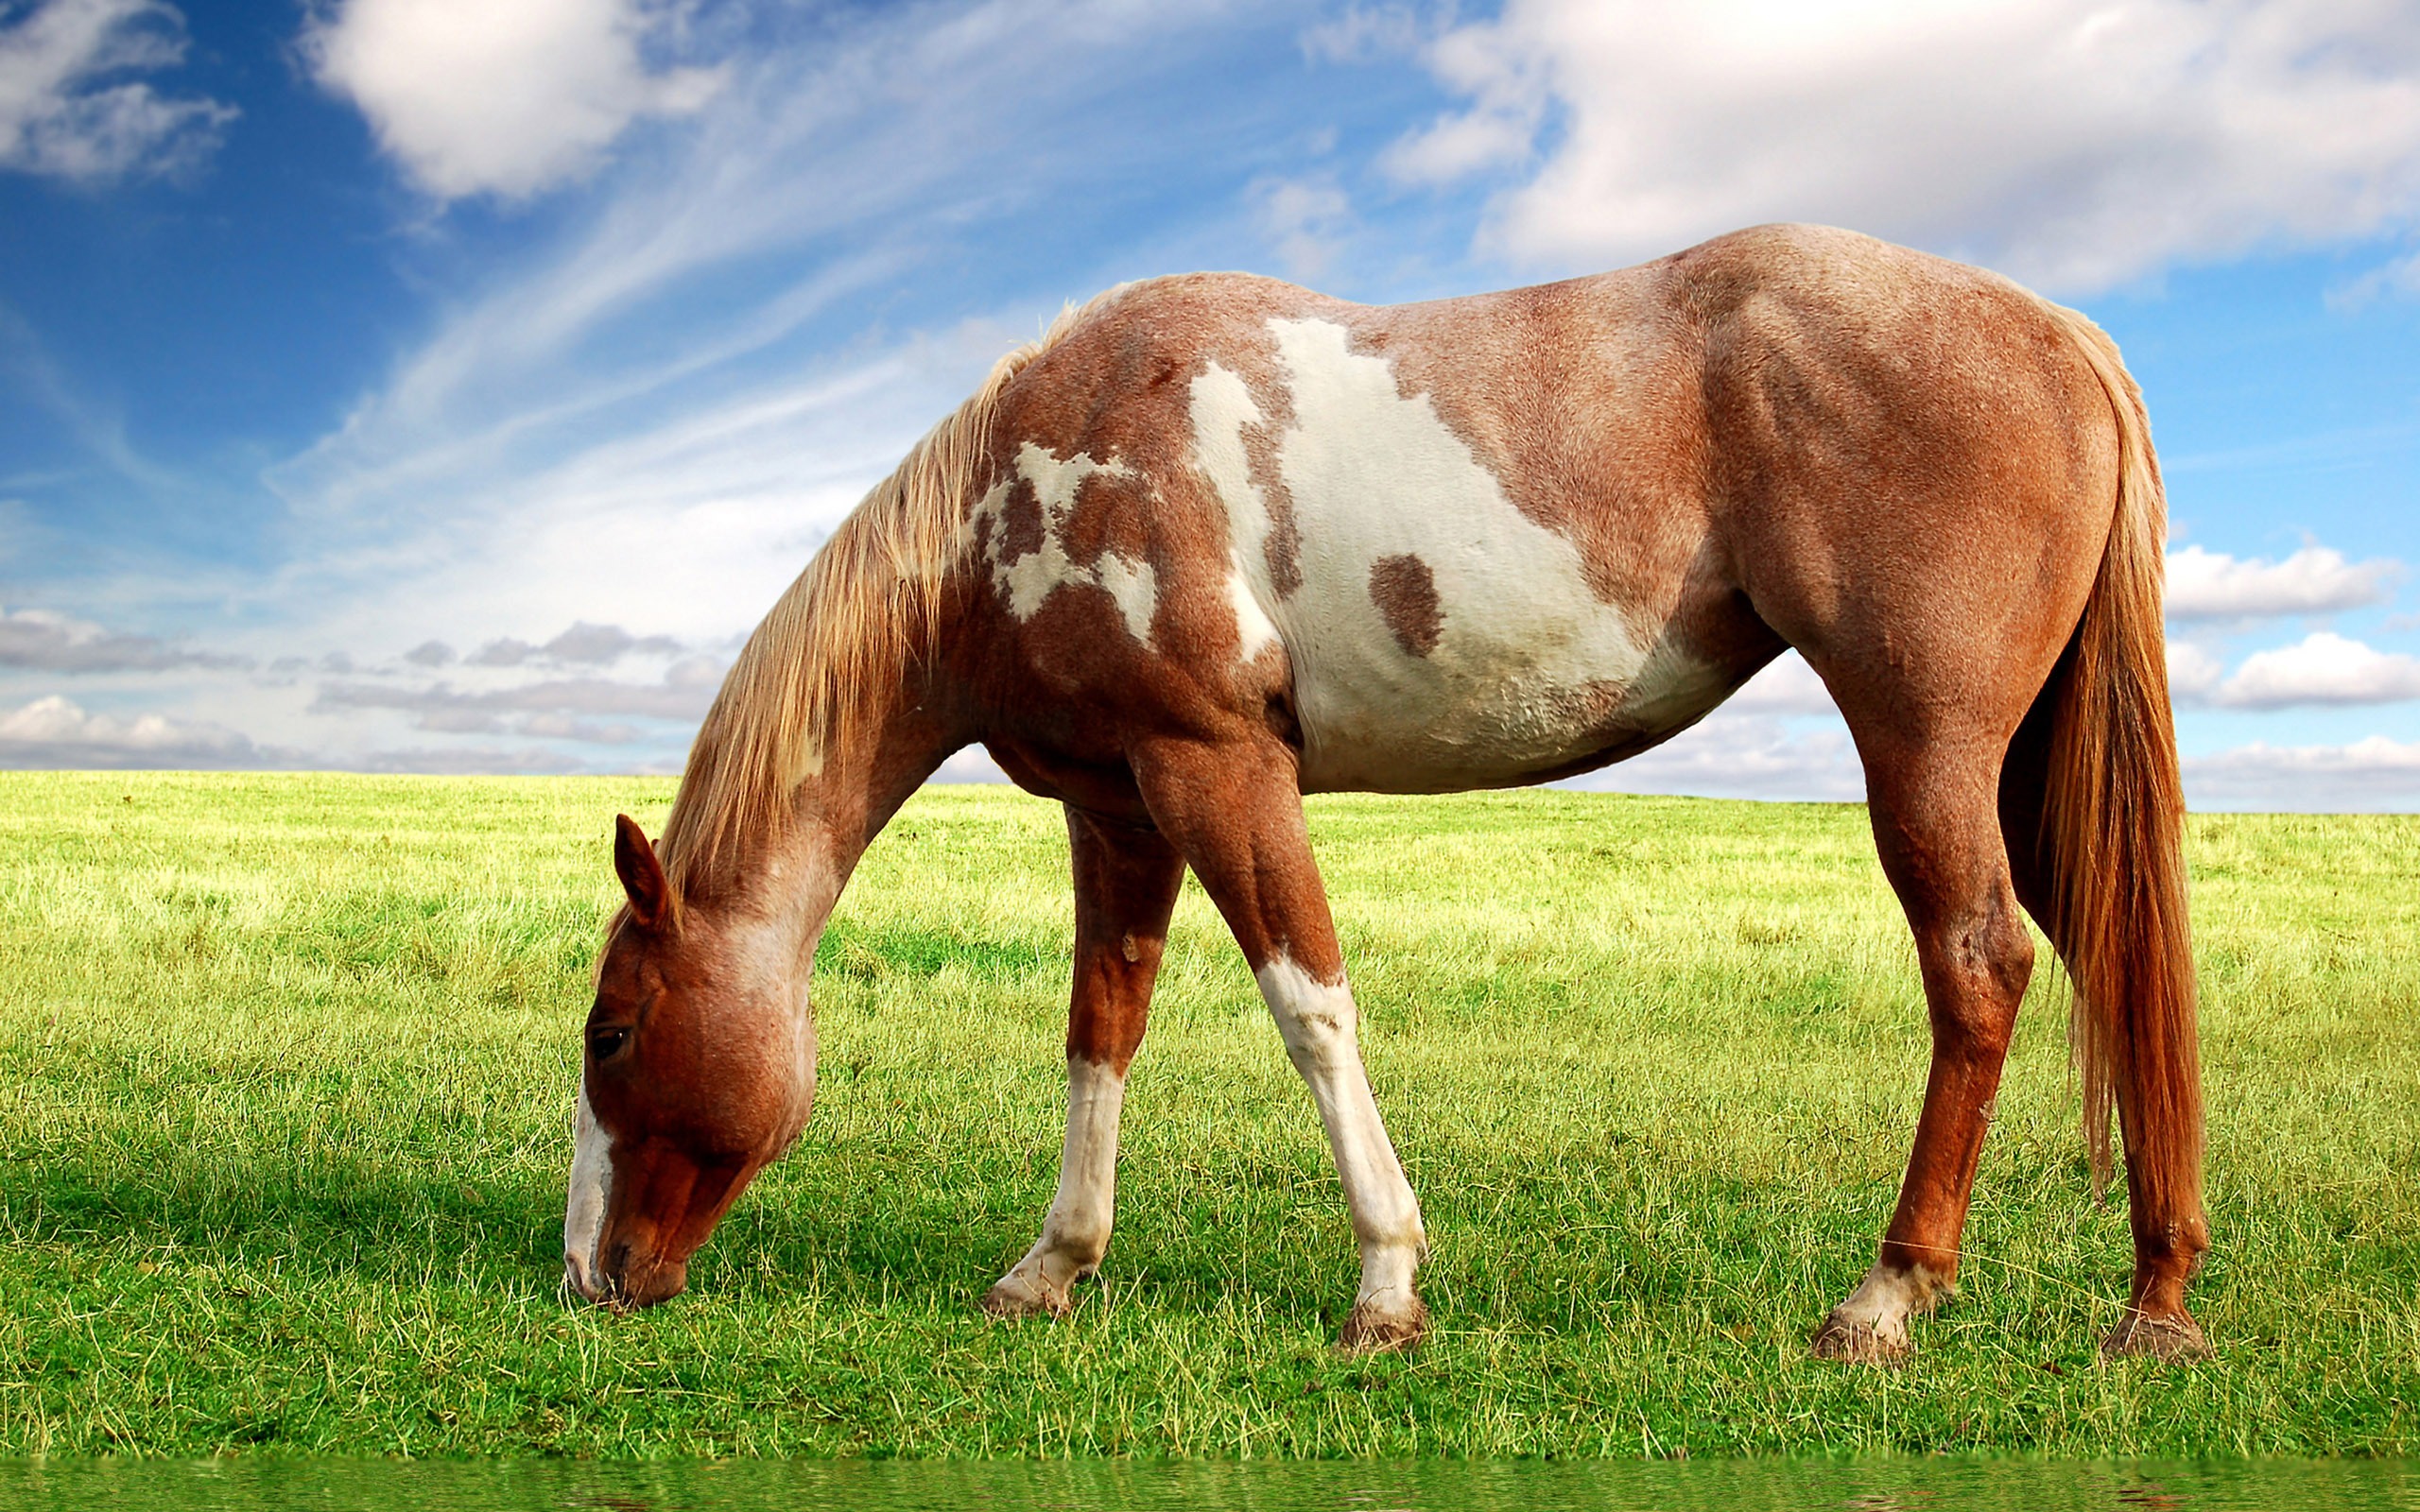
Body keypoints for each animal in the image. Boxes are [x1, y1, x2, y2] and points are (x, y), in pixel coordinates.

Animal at [561, 223, 2216, 1354]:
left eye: (614, 1031)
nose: (586, 1276)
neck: (1016, 495)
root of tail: (2059, 329)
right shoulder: (1118, 806)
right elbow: (1102, 1031)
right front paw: (1053, 1267)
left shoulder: (1218, 771)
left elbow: (1311, 1008)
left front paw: (1386, 1282)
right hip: (2028, 772)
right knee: (2118, 964)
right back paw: (2156, 1298)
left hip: (1929, 748)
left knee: (1980, 967)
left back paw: (1886, 1295)